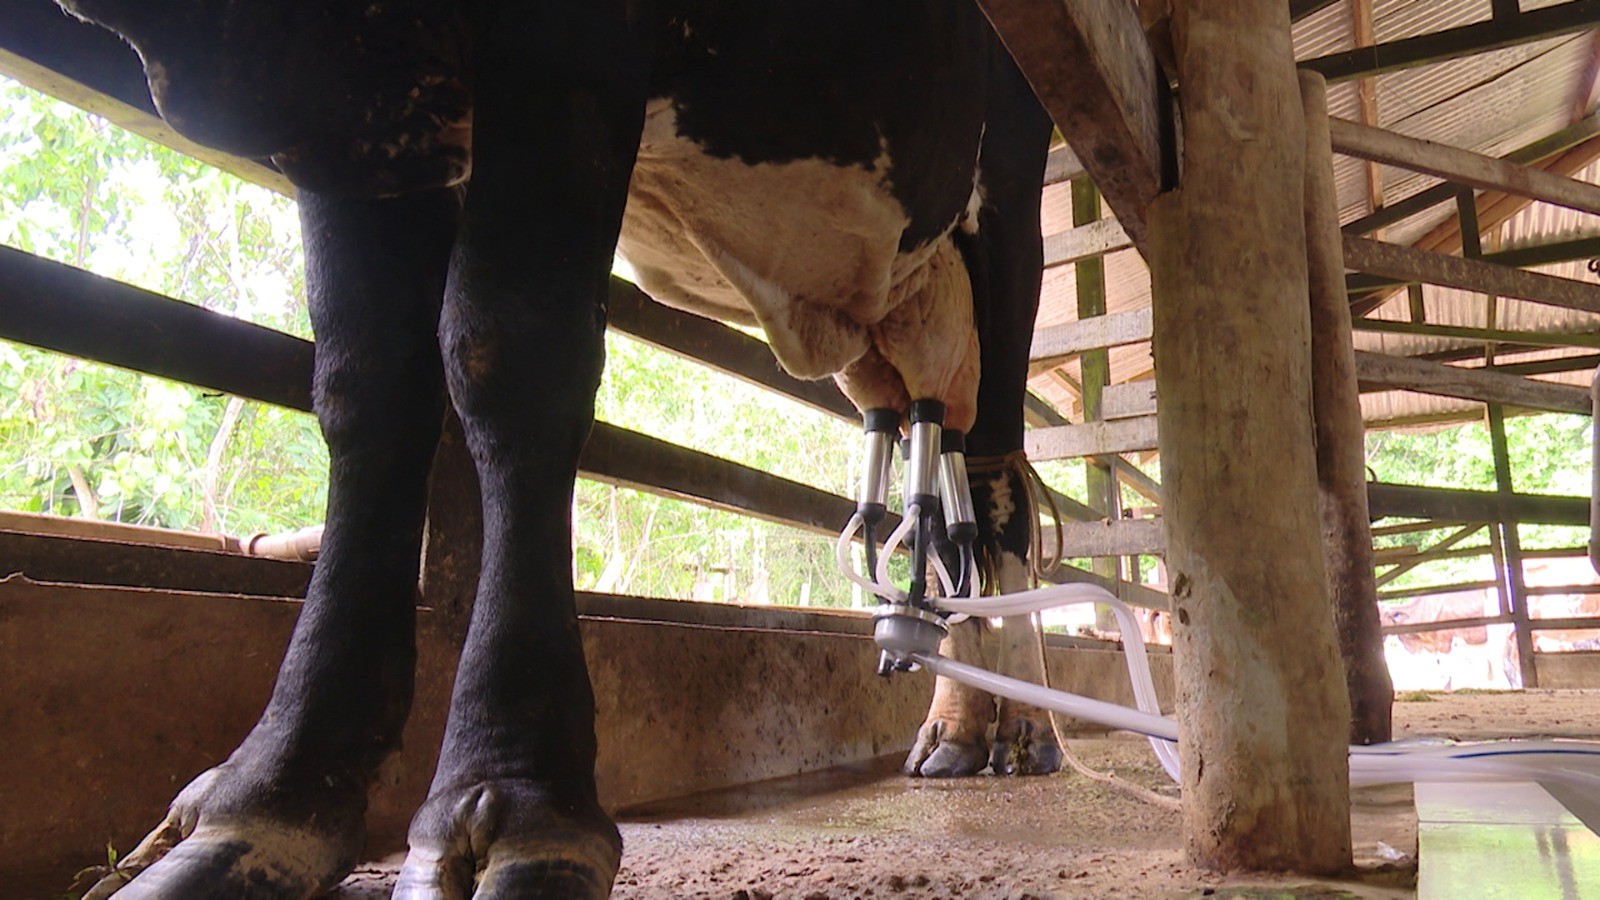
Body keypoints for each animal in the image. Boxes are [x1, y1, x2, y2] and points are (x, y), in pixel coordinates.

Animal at [53, 1, 1062, 896]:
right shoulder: (349, 114)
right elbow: (363, 383)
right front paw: (265, 805)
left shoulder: (564, 43)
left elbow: (508, 345)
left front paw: (510, 799)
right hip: (902, 308)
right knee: (946, 467)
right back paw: (961, 726)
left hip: (1008, 206)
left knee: (999, 484)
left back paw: (1023, 728)